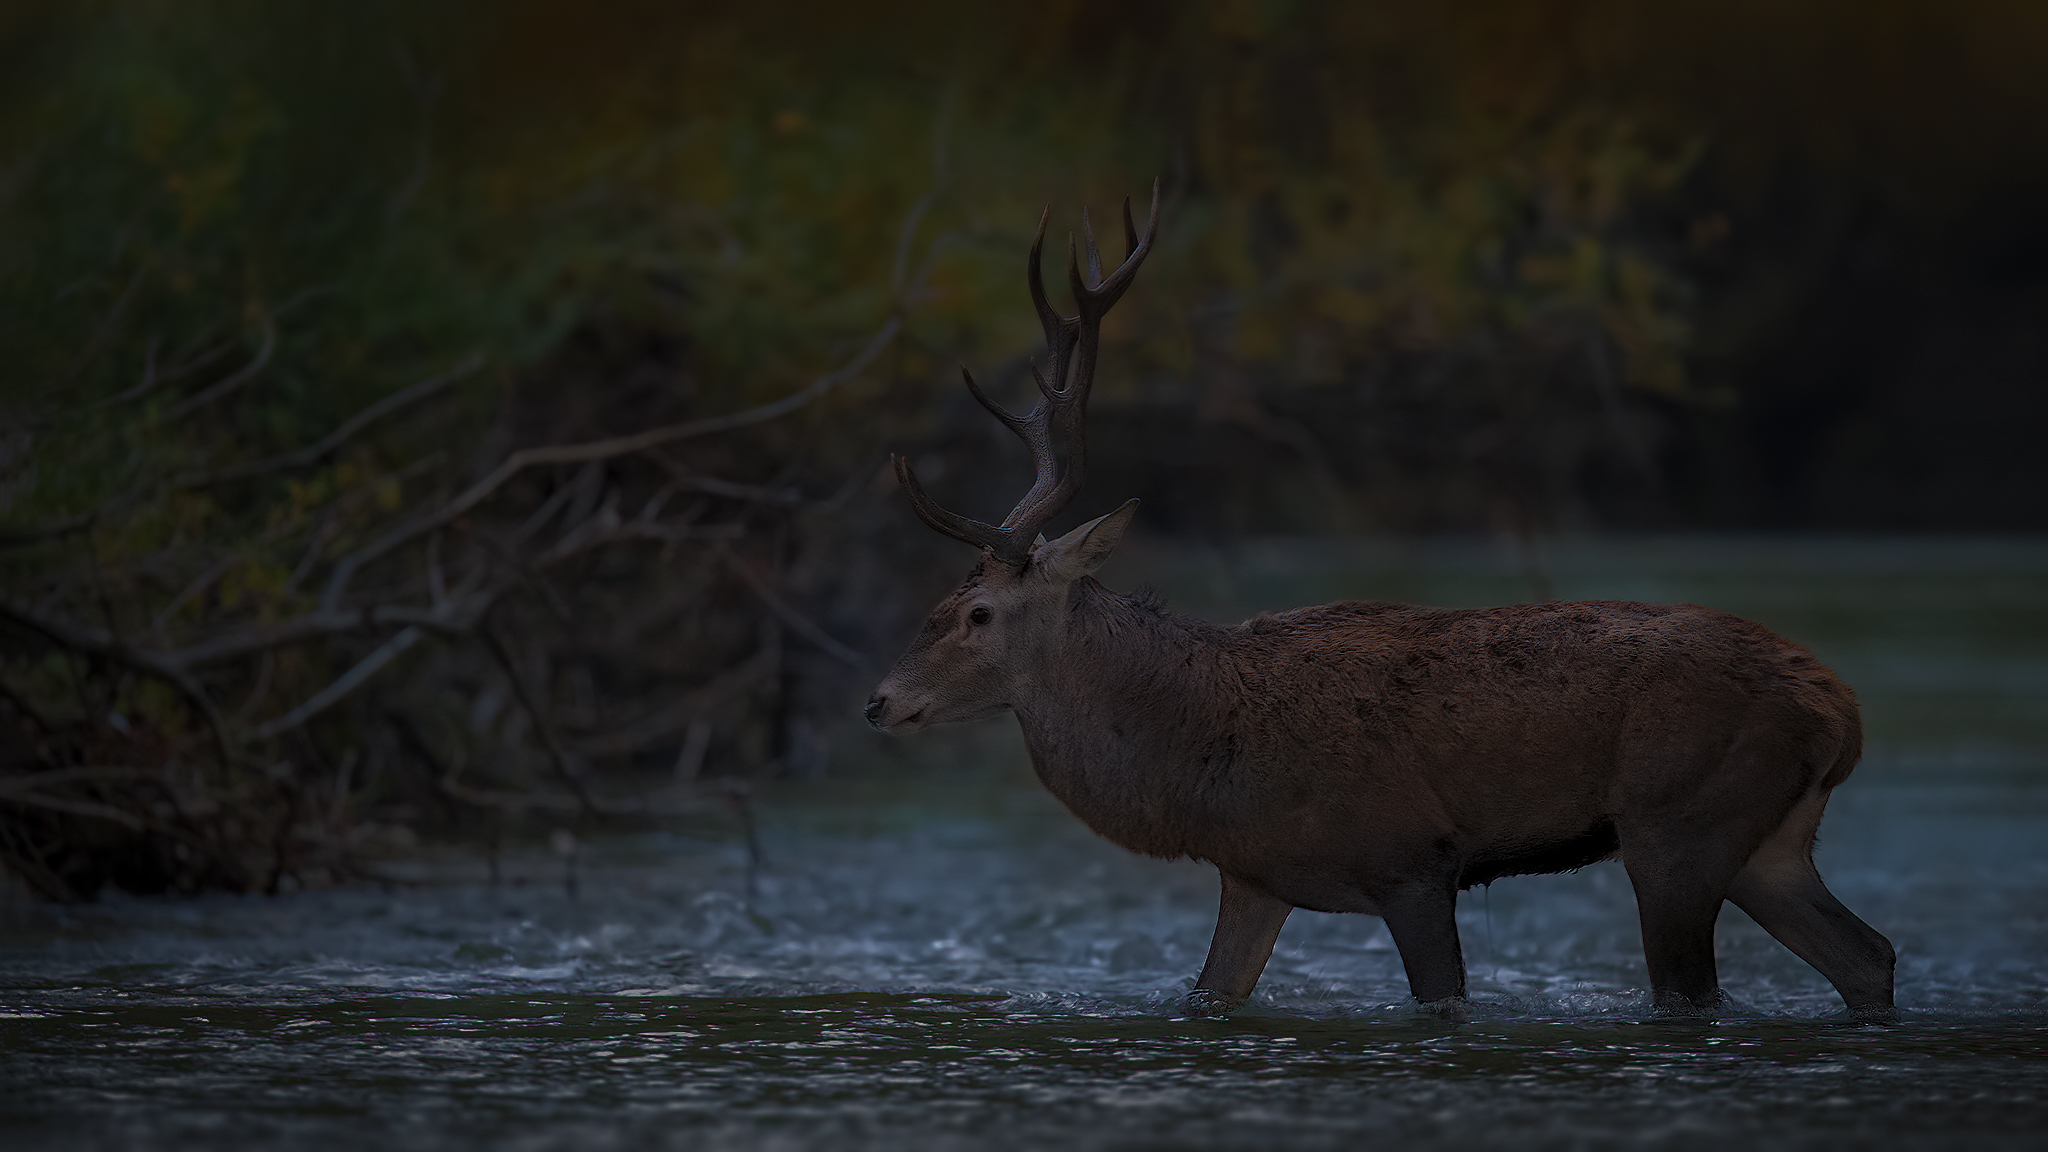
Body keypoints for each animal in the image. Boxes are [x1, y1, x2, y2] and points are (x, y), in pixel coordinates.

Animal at [863, 183, 1896, 1020]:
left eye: (977, 613)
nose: (878, 700)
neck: (1196, 751)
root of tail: (1840, 710)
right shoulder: (1256, 872)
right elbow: (1210, 993)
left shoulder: (1412, 861)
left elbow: (1440, 998)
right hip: (1767, 843)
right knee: (1871, 955)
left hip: (1676, 827)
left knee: (1695, 992)